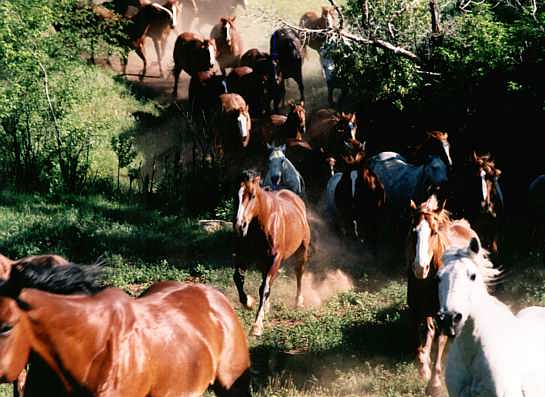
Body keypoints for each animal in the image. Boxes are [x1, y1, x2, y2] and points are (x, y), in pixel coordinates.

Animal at [233, 169, 310, 336]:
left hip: (302, 250)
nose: (240, 226)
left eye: (252, 195)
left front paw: (257, 326)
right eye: (236, 195)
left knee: (299, 272)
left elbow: (264, 288)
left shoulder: (275, 258)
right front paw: (249, 303)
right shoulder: (245, 256)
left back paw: (299, 301)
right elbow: (238, 278)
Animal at [404, 194, 480, 392]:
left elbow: (439, 346)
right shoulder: (416, 313)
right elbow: (419, 344)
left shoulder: (446, 315)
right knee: (430, 330)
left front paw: (435, 382)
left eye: (434, 232)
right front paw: (423, 369)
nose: (420, 268)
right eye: (413, 232)